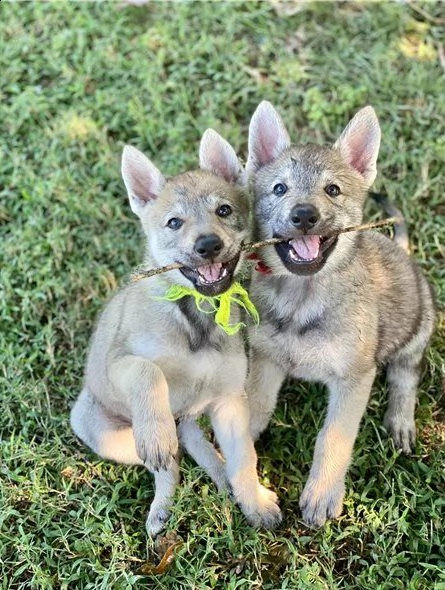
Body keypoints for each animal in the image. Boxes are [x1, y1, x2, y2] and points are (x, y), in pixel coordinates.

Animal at [72, 132, 280, 540]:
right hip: (111, 435)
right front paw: (157, 434)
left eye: (224, 211)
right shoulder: (120, 362)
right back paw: (163, 504)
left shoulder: (229, 402)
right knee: (168, 463)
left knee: (189, 439)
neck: (195, 315)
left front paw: (255, 503)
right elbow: (147, 371)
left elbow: (244, 458)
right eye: (174, 222)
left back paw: (220, 475)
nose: (208, 245)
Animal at [243, 100, 434, 528]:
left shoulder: (354, 378)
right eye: (279, 188)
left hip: (418, 328)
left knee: (406, 375)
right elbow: (254, 406)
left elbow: (332, 437)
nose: (304, 215)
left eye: (332, 190)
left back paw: (401, 420)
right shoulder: (266, 359)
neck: (302, 301)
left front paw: (322, 494)